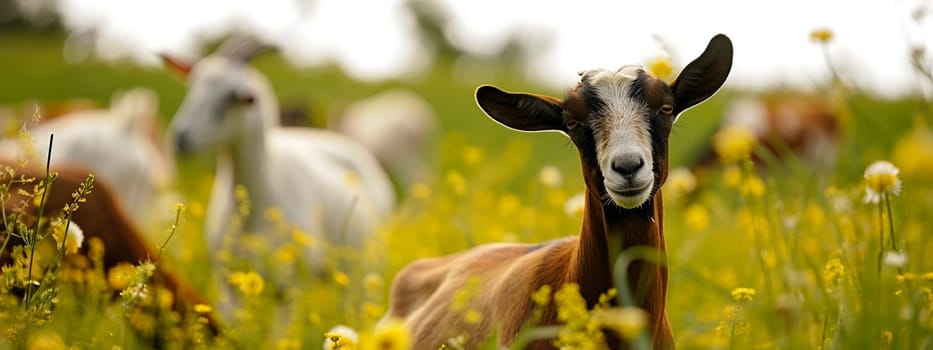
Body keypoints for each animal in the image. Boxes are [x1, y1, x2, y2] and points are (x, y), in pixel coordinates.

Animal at [162, 37, 396, 318]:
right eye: (192, 86)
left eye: (232, 97)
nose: (181, 138)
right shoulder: (228, 280)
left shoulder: (288, 288)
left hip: (365, 269)